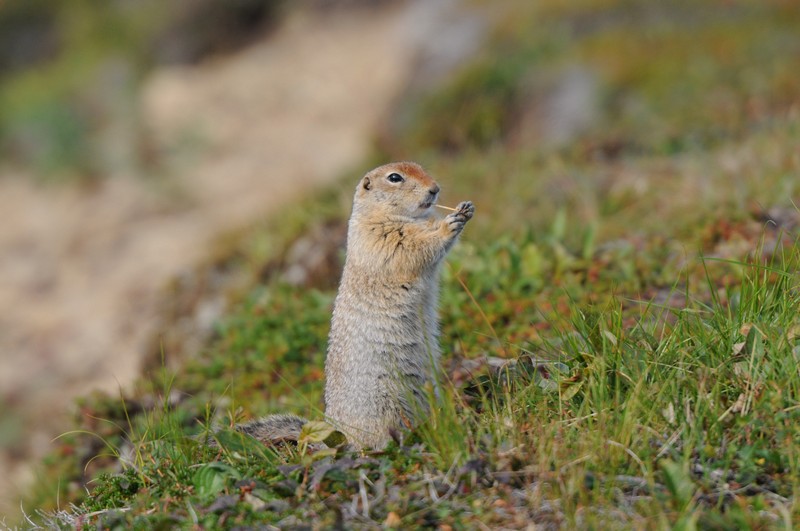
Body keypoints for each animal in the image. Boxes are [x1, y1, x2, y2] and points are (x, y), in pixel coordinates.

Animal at [231, 162, 472, 448]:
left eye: (421, 167)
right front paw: (449, 224)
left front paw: (466, 209)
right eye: (395, 178)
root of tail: (339, 437)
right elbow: (411, 248)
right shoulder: (381, 237)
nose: (435, 189)